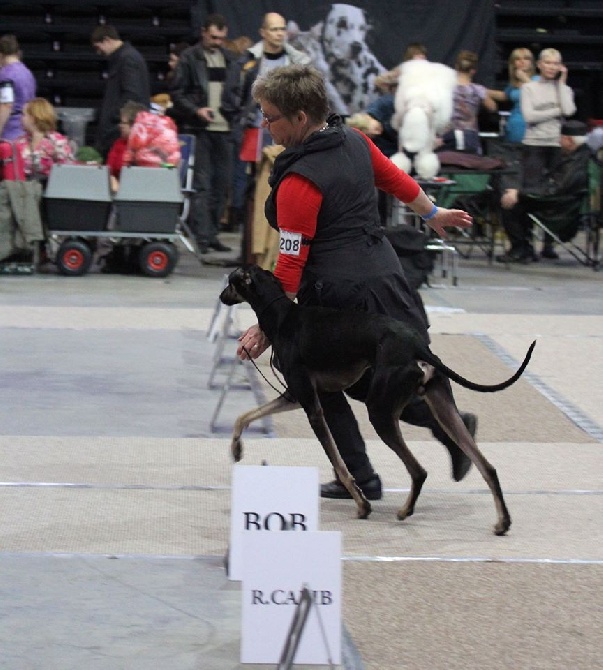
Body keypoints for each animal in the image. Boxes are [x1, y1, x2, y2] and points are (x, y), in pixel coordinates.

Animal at [219, 266, 536, 536]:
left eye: (231, 280)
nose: (221, 297)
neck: (284, 318)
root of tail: (417, 346)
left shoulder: (311, 405)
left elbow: (339, 463)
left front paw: (362, 505)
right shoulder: (295, 396)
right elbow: (244, 416)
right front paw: (236, 449)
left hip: (380, 413)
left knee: (419, 470)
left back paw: (405, 511)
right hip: (441, 405)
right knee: (487, 466)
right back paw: (502, 522)